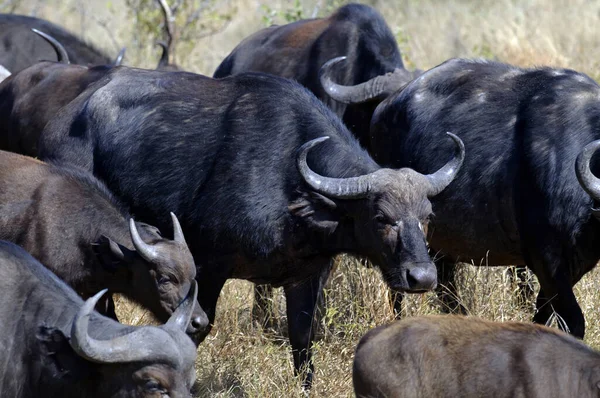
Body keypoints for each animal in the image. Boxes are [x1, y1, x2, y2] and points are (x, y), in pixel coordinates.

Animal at [35, 67, 464, 386]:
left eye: (426, 217)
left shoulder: (307, 276)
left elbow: (302, 337)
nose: (422, 277)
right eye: (381, 218)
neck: (292, 185)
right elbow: (195, 329)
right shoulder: (207, 268)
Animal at [368, 59, 600, 338]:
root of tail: (383, 108)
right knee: (398, 291)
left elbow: (542, 313)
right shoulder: (547, 259)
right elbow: (572, 320)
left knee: (445, 285)